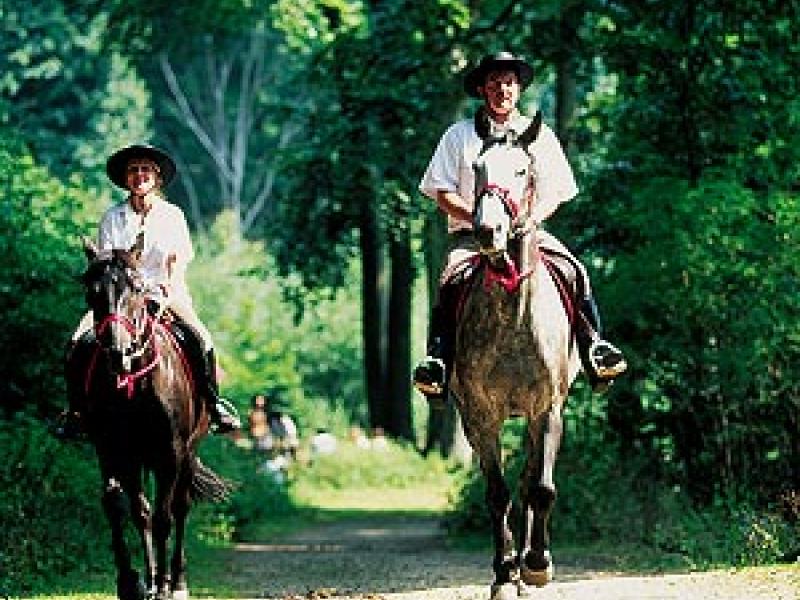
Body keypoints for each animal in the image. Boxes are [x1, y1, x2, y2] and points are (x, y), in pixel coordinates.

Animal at [70, 237, 231, 600]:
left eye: (137, 287)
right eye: (91, 290)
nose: (118, 352)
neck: (136, 385)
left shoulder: (169, 455)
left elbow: (162, 518)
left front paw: (163, 586)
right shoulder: (115, 452)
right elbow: (128, 510)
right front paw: (133, 581)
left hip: (189, 452)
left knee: (181, 507)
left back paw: (178, 581)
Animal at [450, 122, 580, 600]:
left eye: (523, 169)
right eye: (477, 166)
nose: (488, 230)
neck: (515, 316)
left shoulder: (547, 409)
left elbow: (540, 487)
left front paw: (537, 564)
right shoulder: (482, 416)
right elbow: (496, 493)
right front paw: (504, 572)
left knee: (529, 480)